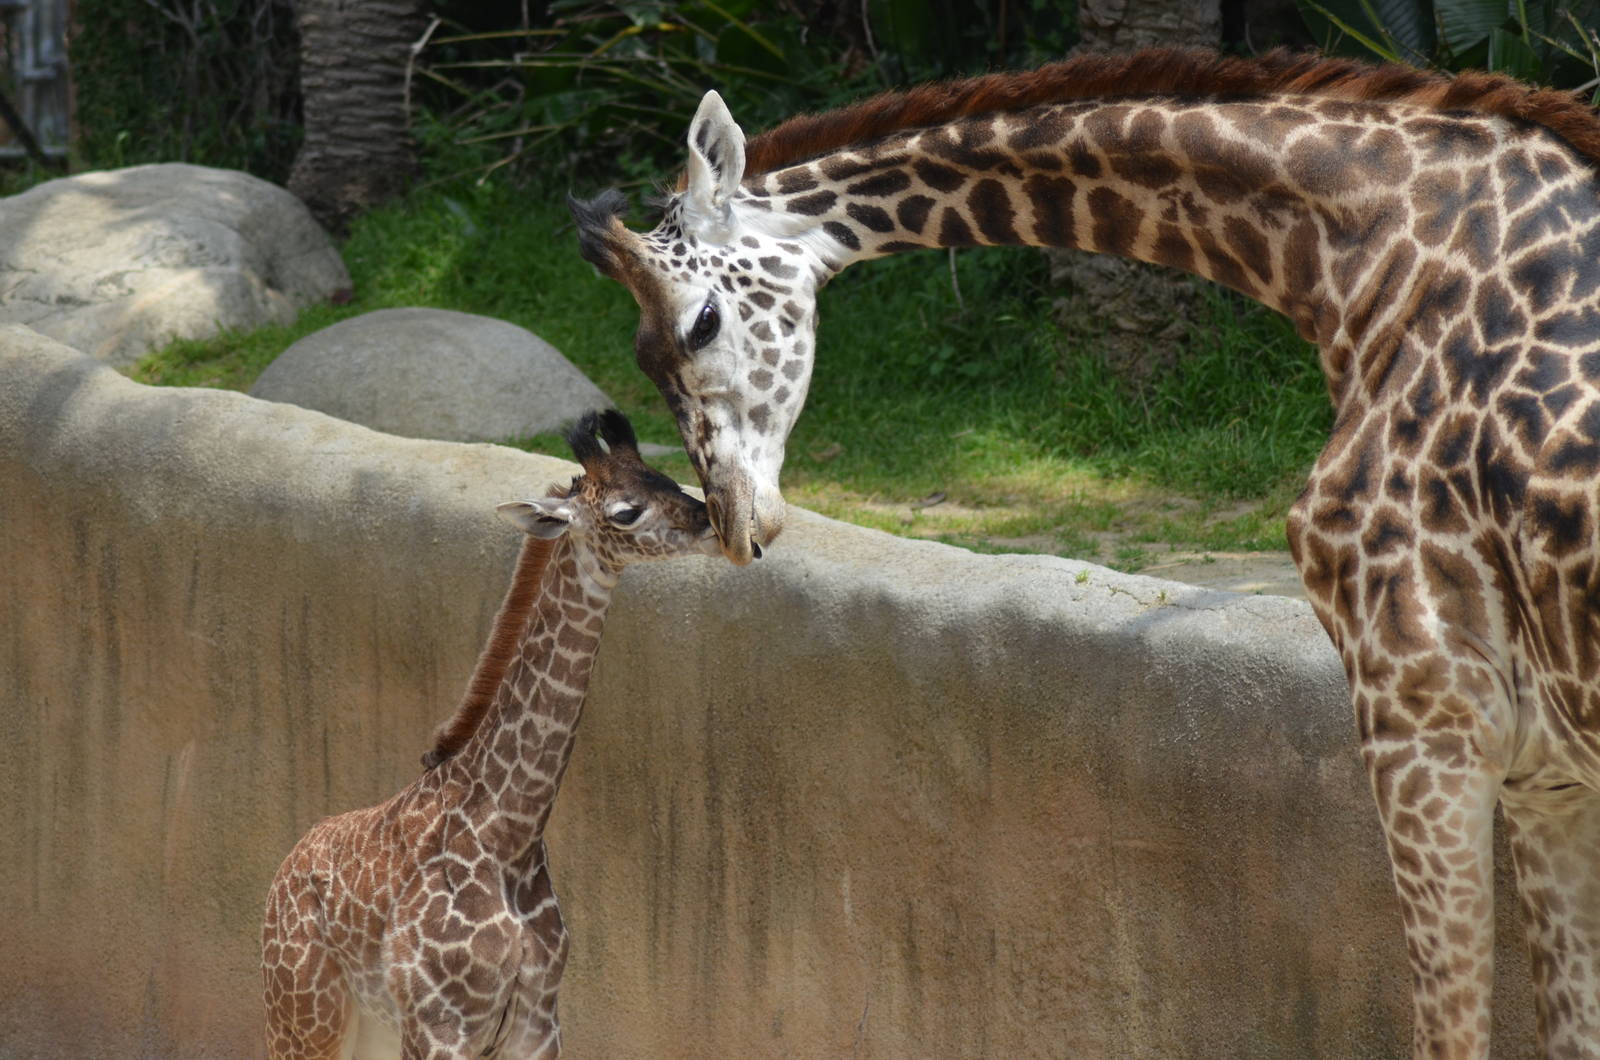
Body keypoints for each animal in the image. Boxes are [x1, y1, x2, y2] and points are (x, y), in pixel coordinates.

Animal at [260, 409, 720, 1059]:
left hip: (370, 1030)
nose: (712, 522)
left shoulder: (538, 1021)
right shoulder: (440, 1025)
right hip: (305, 1015)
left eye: (668, 478)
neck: (510, 832)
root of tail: (282, 872)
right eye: (627, 511)